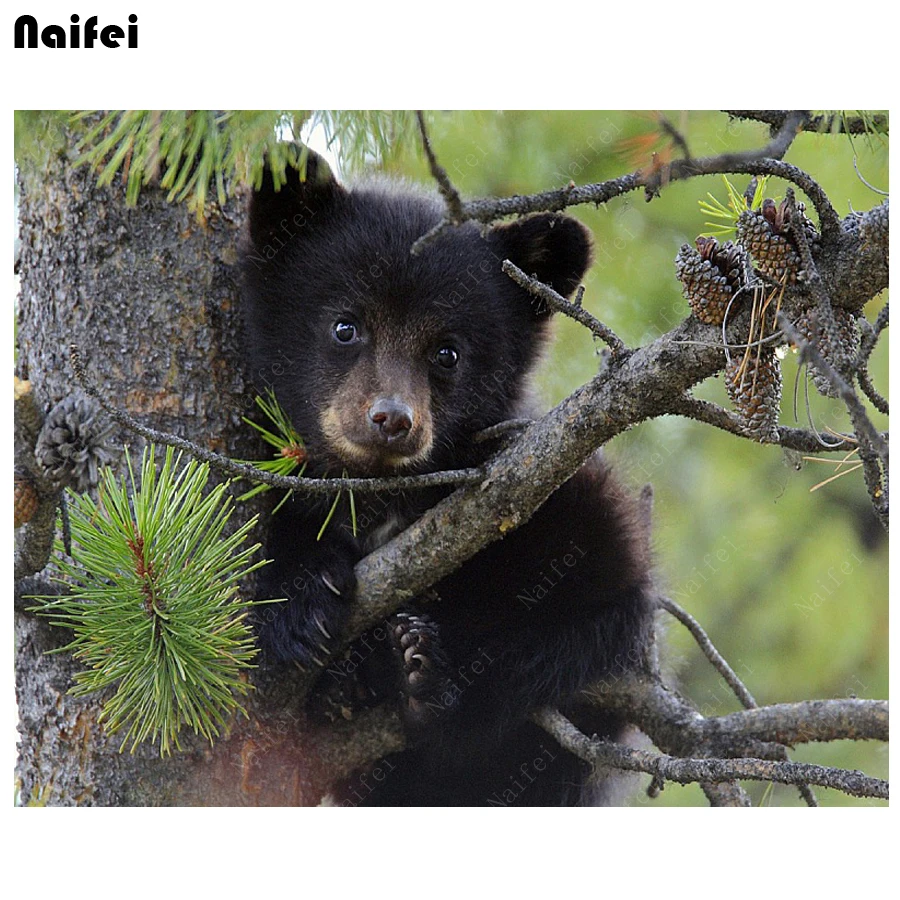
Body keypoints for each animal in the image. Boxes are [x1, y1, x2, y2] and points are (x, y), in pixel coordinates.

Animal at [240, 146, 656, 806]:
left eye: (447, 352)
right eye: (344, 325)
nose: (391, 419)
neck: (384, 497)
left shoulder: (556, 483)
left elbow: (597, 595)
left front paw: (444, 671)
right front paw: (301, 598)